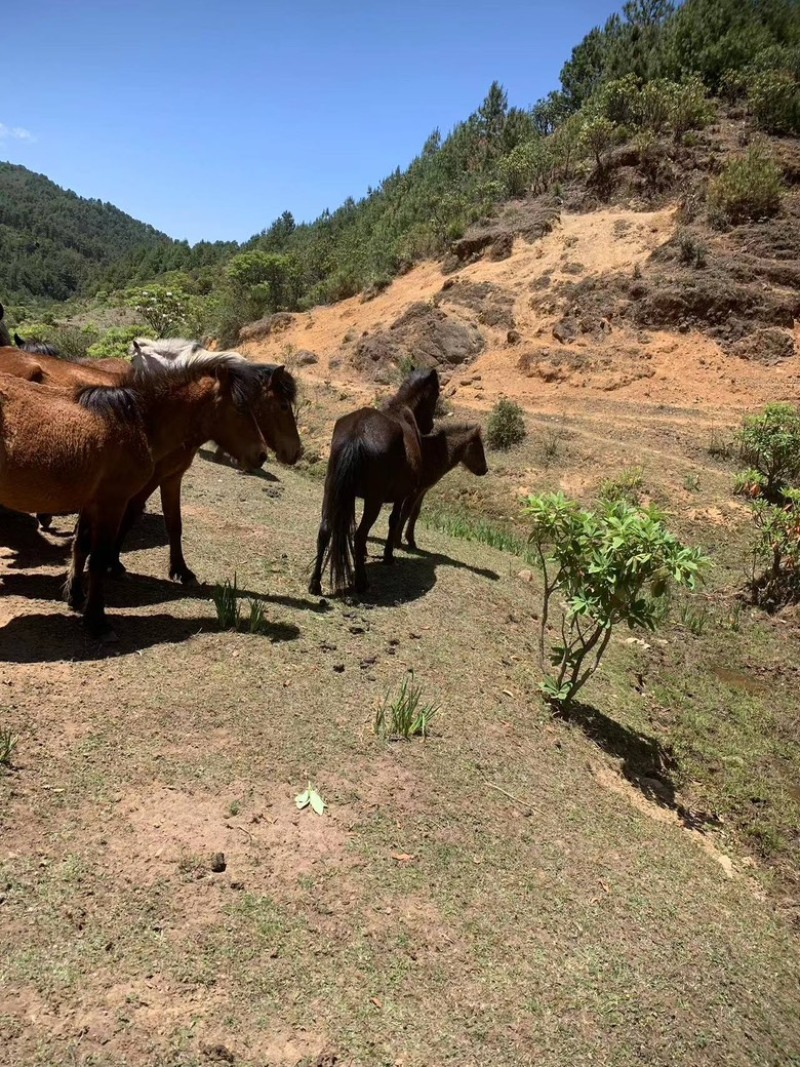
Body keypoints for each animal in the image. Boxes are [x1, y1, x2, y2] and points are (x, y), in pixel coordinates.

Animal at [0, 356, 268, 639]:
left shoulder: (93, 502)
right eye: (240, 409)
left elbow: (81, 545)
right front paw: (97, 621)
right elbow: (98, 558)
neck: (135, 421)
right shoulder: (113, 503)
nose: (261, 455)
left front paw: (75, 596)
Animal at [308, 368, 441, 596]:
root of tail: (358, 432)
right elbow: (394, 521)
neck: (402, 412)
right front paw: (388, 556)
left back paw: (315, 583)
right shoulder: (401, 495)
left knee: (325, 531)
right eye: (436, 394)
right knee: (360, 535)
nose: (429, 425)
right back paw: (362, 582)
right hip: (374, 501)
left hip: (331, 491)